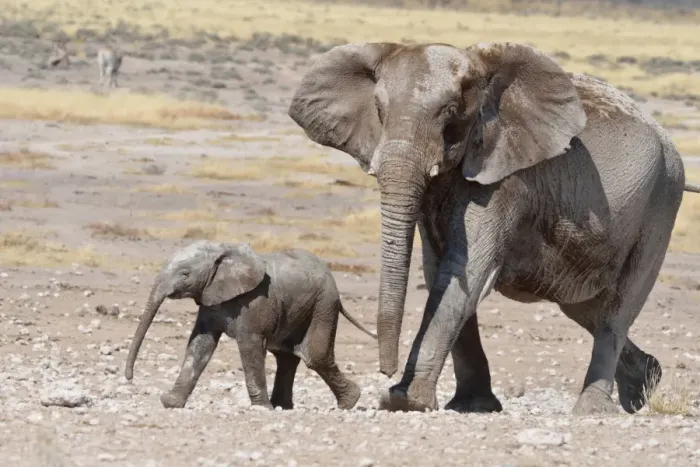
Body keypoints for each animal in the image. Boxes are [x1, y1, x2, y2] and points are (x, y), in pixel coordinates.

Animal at [124, 240, 377, 410]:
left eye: (185, 273)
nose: (129, 378)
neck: (222, 251)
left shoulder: (255, 303)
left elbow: (249, 346)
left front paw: (260, 409)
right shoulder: (211, 298)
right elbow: (200, 345)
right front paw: (171, 402)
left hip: (323, 305)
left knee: (315, 355)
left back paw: (349, 402)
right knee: (286, 356)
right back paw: (282, 406)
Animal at [287, 41, 700, 415]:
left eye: (450, 112)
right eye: (378, 110)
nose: (385, 374)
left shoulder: (506, 180)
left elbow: (465, 272)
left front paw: (405, 402)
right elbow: (439, 270)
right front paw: (470, 406)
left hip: (661, 201)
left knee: (617, 308)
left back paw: (593, 410)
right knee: (584, 307)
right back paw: (643, 388)